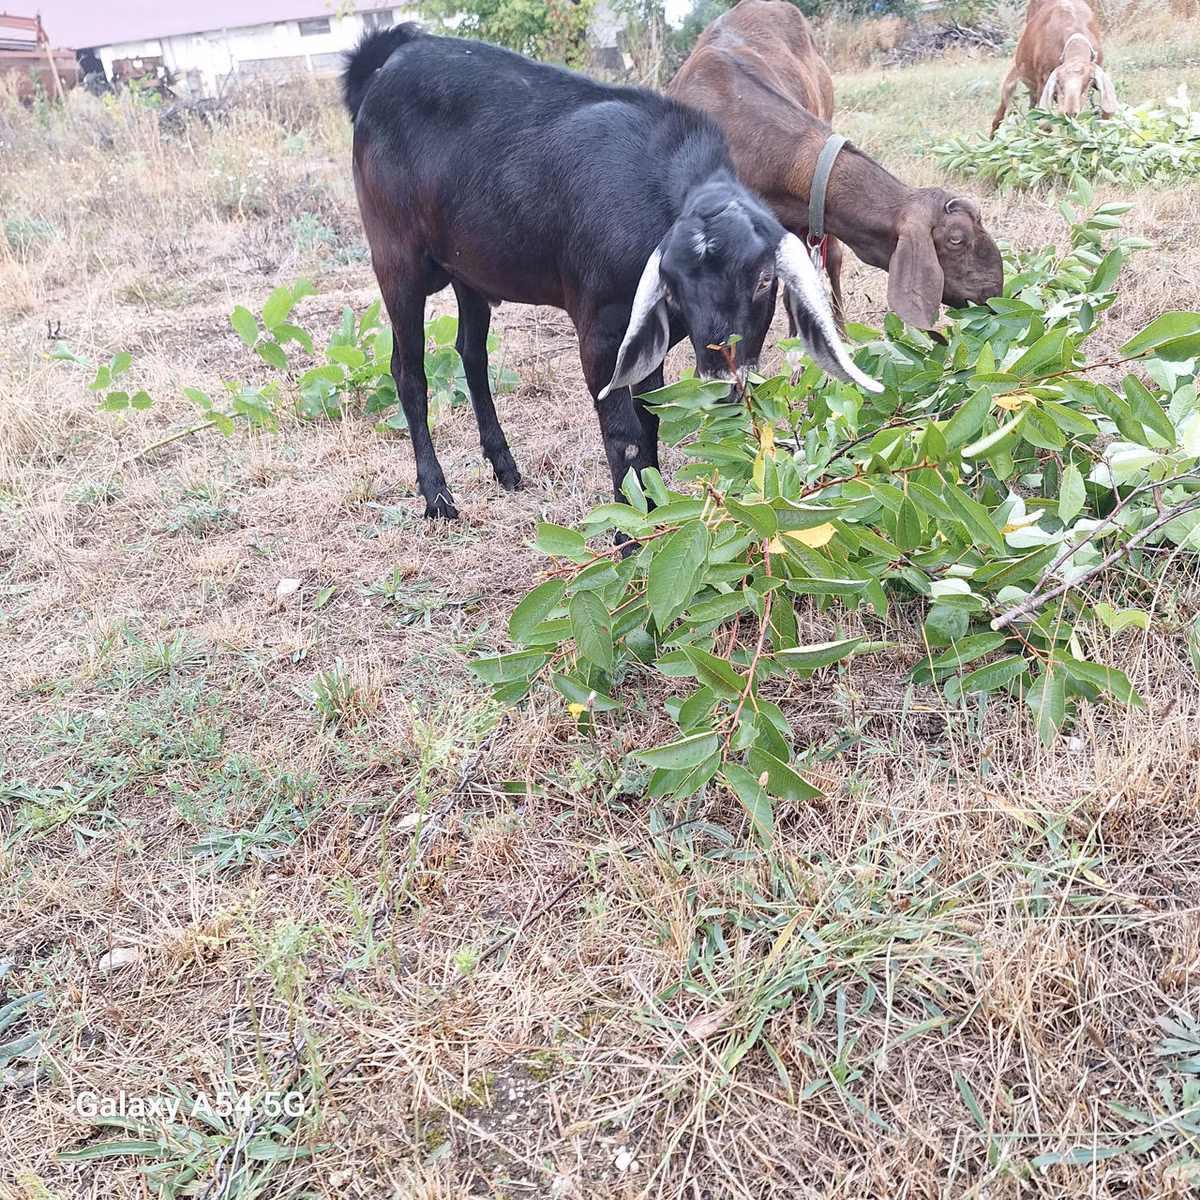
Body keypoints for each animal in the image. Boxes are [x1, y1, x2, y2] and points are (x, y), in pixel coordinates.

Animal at [343, 24, 878, 521]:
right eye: (675, 287)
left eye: (765, 279)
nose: (719, 377)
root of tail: (384, 65)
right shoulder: (602, 332)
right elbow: (625, 433)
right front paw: (628, 537)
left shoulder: (646, 338)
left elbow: (650, 421)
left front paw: (654, 514)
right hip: (395, 258)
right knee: (408, 370)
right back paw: (436, 495)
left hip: (469, 268)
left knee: (471, 355)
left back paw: (503, 465)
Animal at [990, 0, 1117, 137]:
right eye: (1059, 83)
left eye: (1088, 81)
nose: (1070, 113)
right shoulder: (1043, 79)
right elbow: (1046, 125)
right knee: (999, 115)